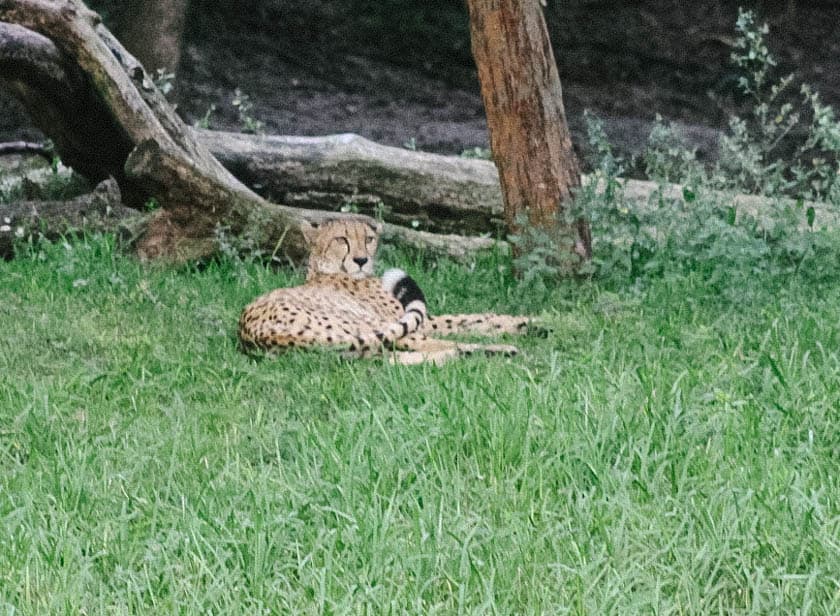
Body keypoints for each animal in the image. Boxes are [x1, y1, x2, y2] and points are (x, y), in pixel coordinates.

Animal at [240, 220, 536, 366]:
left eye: (368, 239)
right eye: (341, 239)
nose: (361, 260)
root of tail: (256, 335)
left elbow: (468, 317)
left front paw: (525, 322)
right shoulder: (413, 320)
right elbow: (461, 320)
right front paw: (521, 325)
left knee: (391, 357)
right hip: (368, 324)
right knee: (434, 344)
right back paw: (500, 350)